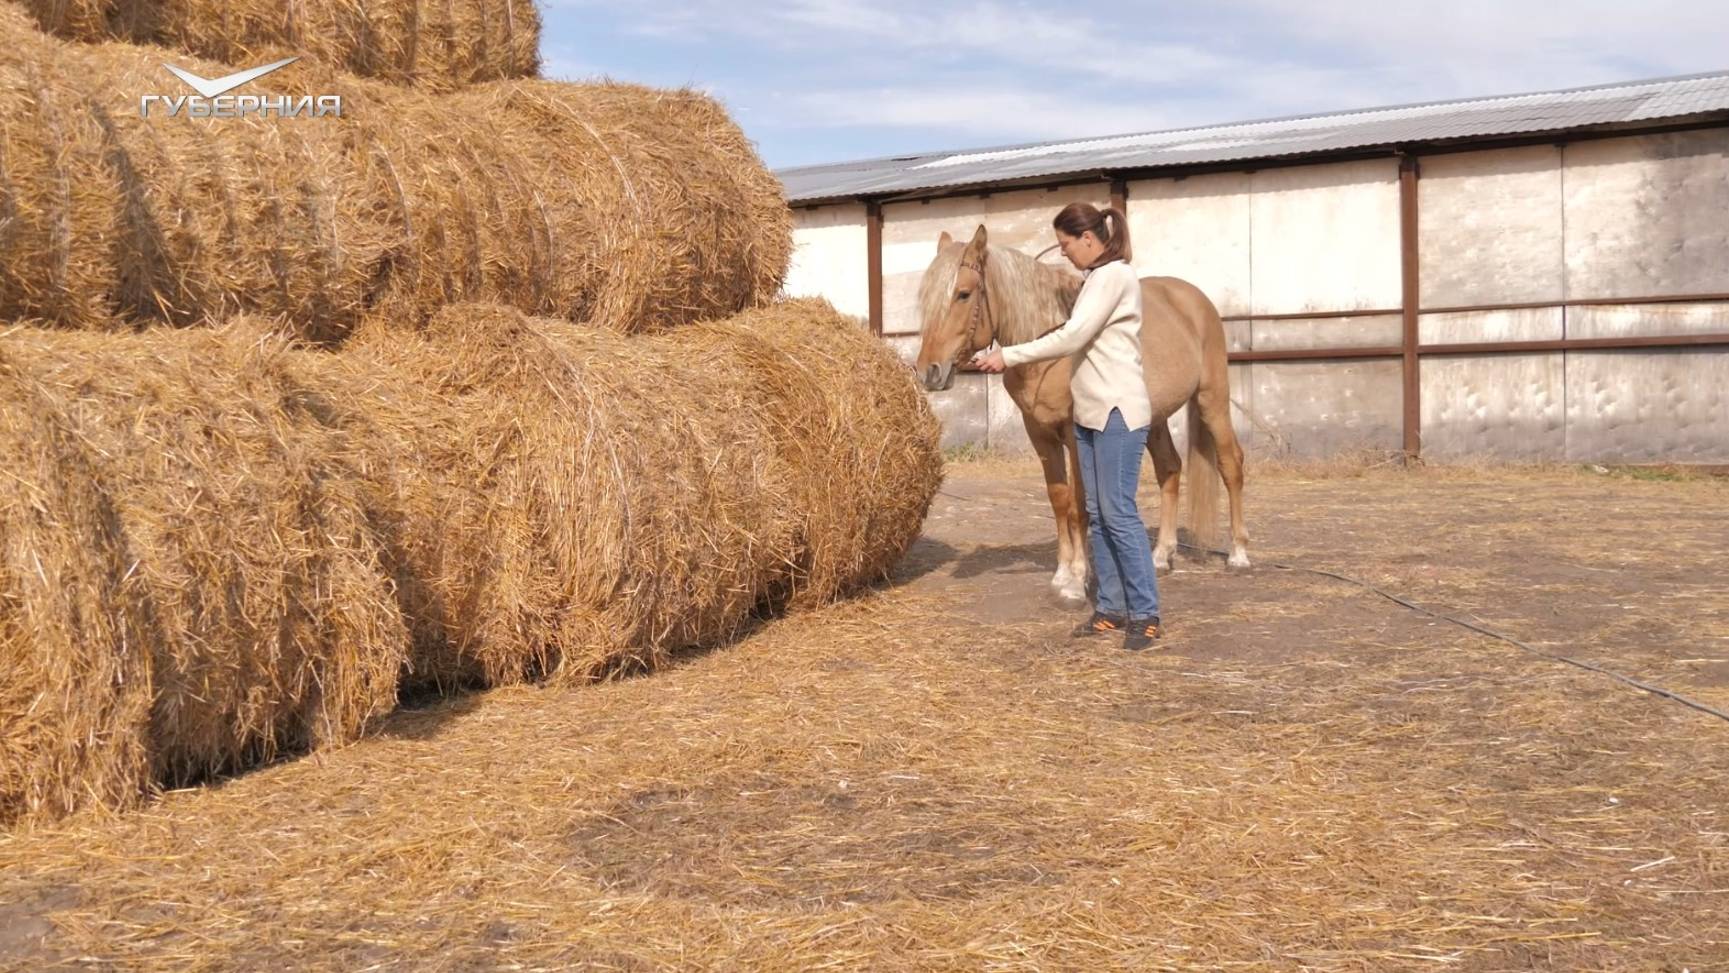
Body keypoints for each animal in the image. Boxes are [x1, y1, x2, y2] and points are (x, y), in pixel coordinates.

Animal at [912, 226, 1251, 608]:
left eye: (964, 294)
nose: (929, 372)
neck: (1048, 350)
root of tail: (1193, 298)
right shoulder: (1040, 435)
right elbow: (1059, 501)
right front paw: (1062, 574)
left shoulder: (1076, 437)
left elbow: (1078, 505)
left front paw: (1076, 581)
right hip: (1152, 419)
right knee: (1170, 469)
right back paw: (1161, 557)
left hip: (1212, 401)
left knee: (1230, 464)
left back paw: (1239, 554)